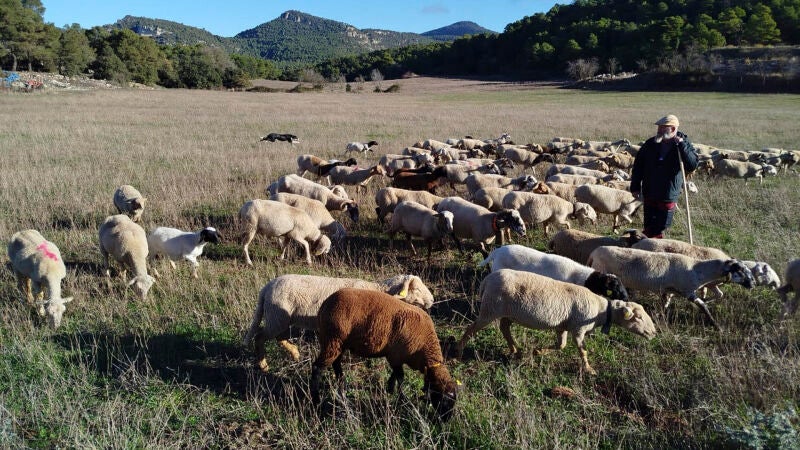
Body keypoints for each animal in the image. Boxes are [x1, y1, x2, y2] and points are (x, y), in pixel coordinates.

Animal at [243, 273, 434, 372]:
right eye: (416, 289)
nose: (432, 300)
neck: (379, 291)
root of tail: (266, 288)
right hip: (277, 317)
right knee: (260, 337)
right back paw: (263, 365)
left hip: (281, 317)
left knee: (279, 337)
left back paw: (295, 354)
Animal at [311, 288, 458, 420]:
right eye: (443, 400)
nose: (447, 420)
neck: (425, 349)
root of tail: (325, 304)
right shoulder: (395, 355)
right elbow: (401, 377)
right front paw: (401, 398)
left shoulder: (397, 357)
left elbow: (395, 375)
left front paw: (390, 389)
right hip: (332, 339)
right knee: (317, 368)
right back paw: (316, 401)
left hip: (338, 343)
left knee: (336, 363)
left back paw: (341, 383)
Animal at [456, 269, 656, 375]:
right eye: (638, 317)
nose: (654, 333)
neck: (600, 309)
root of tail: (487, 279)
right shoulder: (578, 328)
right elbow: (582, 350)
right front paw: (589, 369)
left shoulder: (563, 327)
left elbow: (561, 345)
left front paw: (537, 351)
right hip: (490, 309)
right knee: (471, 328)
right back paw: (458, 352)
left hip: (507, 312)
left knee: (504, 328)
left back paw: (515, 350)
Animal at [587, 246, 755, 329]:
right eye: (740, 270)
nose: (753, 283)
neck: (697, 270)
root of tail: (594, 253)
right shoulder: (688, 291)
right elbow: (702, 306)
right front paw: (716, 325)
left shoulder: (669, 290)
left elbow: (666, 304)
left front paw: (660, 317)